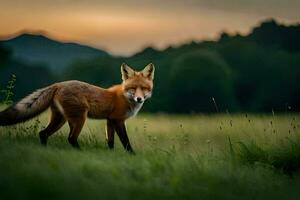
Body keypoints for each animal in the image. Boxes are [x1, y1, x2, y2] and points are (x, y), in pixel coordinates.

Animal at [0, 63, 155, 152]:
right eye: (133, 88)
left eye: (144, 88)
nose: (139, 99)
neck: (124, 96)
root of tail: (58, 84)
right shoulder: (118, 120)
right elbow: (125, 141)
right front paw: (132, 156)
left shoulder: (109, 121)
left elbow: (110, 142)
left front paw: (110, 155)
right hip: (80, 118)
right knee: (71, 138)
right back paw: (81, 153)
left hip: (62, 119)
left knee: (43, 133)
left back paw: (45, 150)